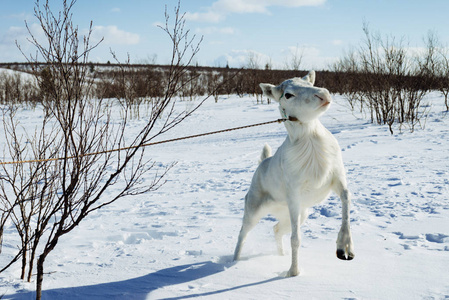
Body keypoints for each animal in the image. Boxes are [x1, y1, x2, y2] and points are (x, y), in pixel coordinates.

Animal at [231, 70, 354, 276]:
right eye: (288, 94)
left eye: (309, 83)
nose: (323, 94)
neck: (311, 138)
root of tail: (262, 163)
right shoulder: (294, 195)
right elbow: (296, 239)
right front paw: (293, 272)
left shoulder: (337, 178)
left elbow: (346, 200)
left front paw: (344, 248)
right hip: (254, 210)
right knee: (242, 233)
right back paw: (233, 262)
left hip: (297, 214)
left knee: (276, 229)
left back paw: (280, 255)